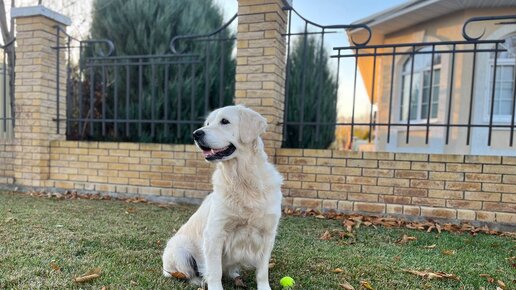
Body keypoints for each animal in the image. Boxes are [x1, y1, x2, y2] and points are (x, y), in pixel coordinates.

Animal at [162, 105, 282, 290]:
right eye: (208, 123)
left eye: (224, 121)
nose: (196, 134)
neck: (243, 180)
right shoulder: (215, 233)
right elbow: (215, 271)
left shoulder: (268, 233)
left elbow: (262, 271)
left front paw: (264, 287)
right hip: (179, 250)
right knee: (184, 273)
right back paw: (199, 280)